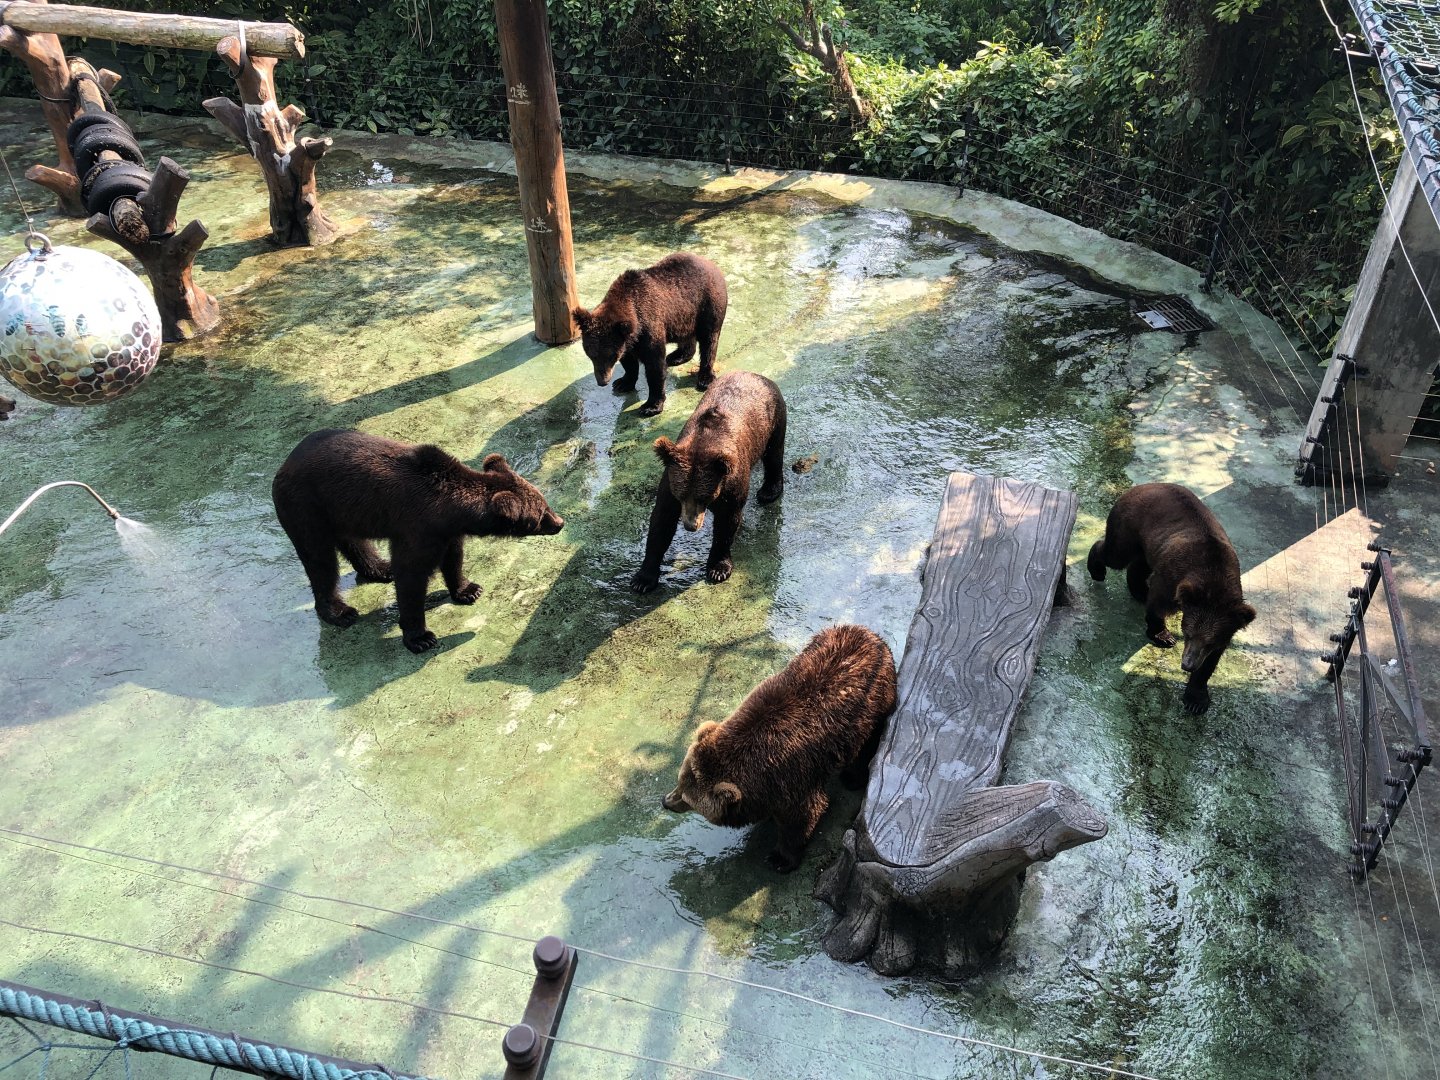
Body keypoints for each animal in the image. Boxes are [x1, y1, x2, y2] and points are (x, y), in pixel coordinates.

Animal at [271, 429, 564, 654]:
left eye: (544, 501)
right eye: (540, 514)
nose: (560, 522)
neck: (449, 508)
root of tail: (283, 465)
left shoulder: (446, 532)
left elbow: (453, 558)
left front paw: (469, 589)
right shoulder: (416, 528)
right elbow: (411, 575)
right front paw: (421, 637)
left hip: (342, 509)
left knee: (354, 541)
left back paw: (380, 569)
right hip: (306, 507)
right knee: (319, 560)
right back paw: (341, 612)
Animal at [573, 252, 728, 417]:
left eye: (611, 356)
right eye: (592, 354)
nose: (603, 381)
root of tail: (712, 264)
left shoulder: (649, 327)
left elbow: (655, 366)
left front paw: (650, 406)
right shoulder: (627, 341)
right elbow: (629, 362)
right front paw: (622, 383)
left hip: (708, 305)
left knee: (709, 341)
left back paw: (705, 378)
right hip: (685, 315)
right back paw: (676, 356)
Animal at [630, 370, 786, 594]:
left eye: (703, 497)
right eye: (681, 495)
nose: (690, 526)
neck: (703, 443)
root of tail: (754, 374)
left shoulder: (730, 483)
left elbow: (727, 522)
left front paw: (718, 568)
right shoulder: (670, 482)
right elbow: (661, 522)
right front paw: (643, 579)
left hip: (773, 419)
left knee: (774, 453)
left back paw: (769, 491)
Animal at [663, 623, 898, 872]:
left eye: (687, 798)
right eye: (679, 782)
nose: (666, 801)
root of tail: (867, 632)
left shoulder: (793, 775)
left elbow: (802, 816)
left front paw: (780, 858)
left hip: (871, 707)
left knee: (866, 746)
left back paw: (852, 778)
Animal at [1087, 482, 1256, 714]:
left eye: (1209, 641)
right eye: (1187, 633)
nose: (1187, 664)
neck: (1213, 578)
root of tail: (1139, 487)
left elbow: (1211, 661)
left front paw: (1196, 698)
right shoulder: (1173, 577)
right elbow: (1158, 603)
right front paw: (1163, 635)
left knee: (1138, 563)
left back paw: (1138, 589)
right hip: (1130, 526)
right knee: (1117, 554)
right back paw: (1097, 569)